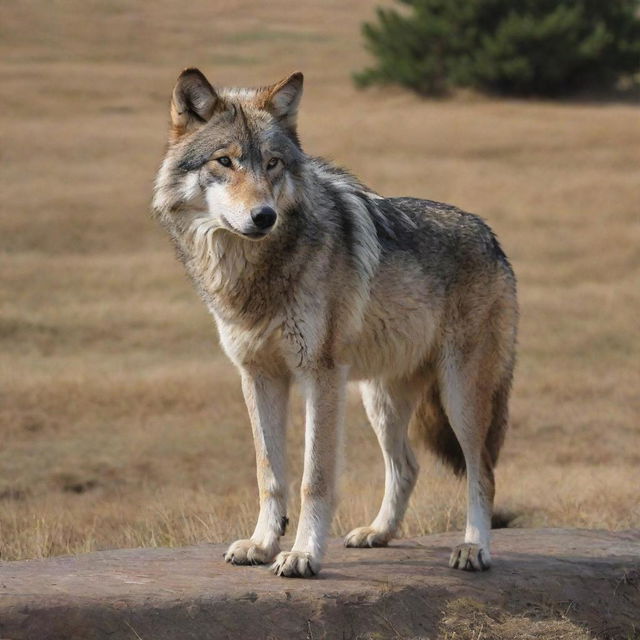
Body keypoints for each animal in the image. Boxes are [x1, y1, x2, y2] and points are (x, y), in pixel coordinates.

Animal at [151, 67, 520, 576]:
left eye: (273, 164)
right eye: (225, 161)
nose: (263, 216)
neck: (255, 272)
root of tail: (492, 238)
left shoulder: (319, 376)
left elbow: (315, 479)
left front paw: (303, 554)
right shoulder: (258, 376)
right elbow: (269, 473)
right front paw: (261, 544)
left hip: (459, 397)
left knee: (482, 470)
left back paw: (473, 548)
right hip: (379, 401)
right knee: (407, 466)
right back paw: (378, 534)